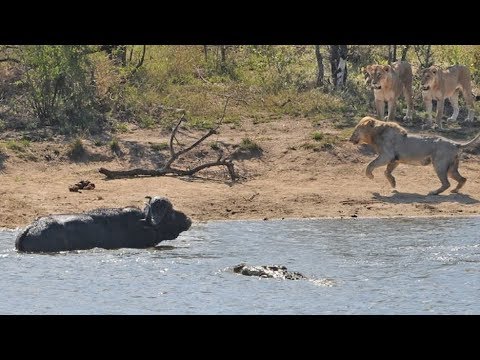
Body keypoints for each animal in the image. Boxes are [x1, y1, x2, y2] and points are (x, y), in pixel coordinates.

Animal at [348, 116, 480, 195]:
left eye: (355, 130)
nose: (349, 139)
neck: (375, 134)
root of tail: (455, 143)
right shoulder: (395, 159)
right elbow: (387, 172)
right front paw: (393, 184)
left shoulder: (387, 156)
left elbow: (371, 164)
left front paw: (370, 176)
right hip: (451, 168)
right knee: (463, 179)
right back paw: (454, 190)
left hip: (440, 165)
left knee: (446, 183)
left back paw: (434, 192)